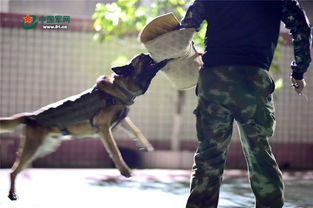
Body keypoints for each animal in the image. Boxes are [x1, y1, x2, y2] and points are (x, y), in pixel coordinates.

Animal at [0, 52, 168, 200]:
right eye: (141, 58)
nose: (147, 53)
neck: (120, 88)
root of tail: (31, 116)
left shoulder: (122, 119)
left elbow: (135, 130)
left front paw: (144, 145)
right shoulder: (104, 128)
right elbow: (115, 150)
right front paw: (124, 169)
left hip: (43, 148)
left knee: (20, 167)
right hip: (33, 147)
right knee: (13, 171)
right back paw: (12, 193)